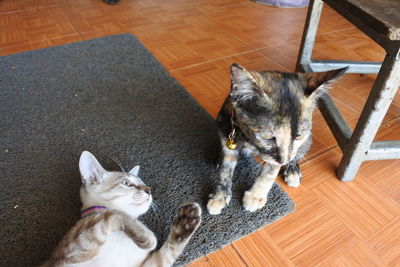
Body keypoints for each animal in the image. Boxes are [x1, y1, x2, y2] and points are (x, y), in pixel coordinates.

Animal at [42, 152, 202, 266]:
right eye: (126, 183)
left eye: (143, 182)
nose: (149, 190)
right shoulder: (70, 255)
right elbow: (114, 213)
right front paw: (148, 238)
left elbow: (169, 251)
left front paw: (186, 222)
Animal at [206, 63, 346, 216]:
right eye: (266, 137)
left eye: (298, 136)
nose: (283, 161)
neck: (248, 139)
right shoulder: (228, 132)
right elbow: (226, 168)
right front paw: (219, 196)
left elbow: (270, 172)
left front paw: (255, 196)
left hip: (307, 141)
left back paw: (292, 170)